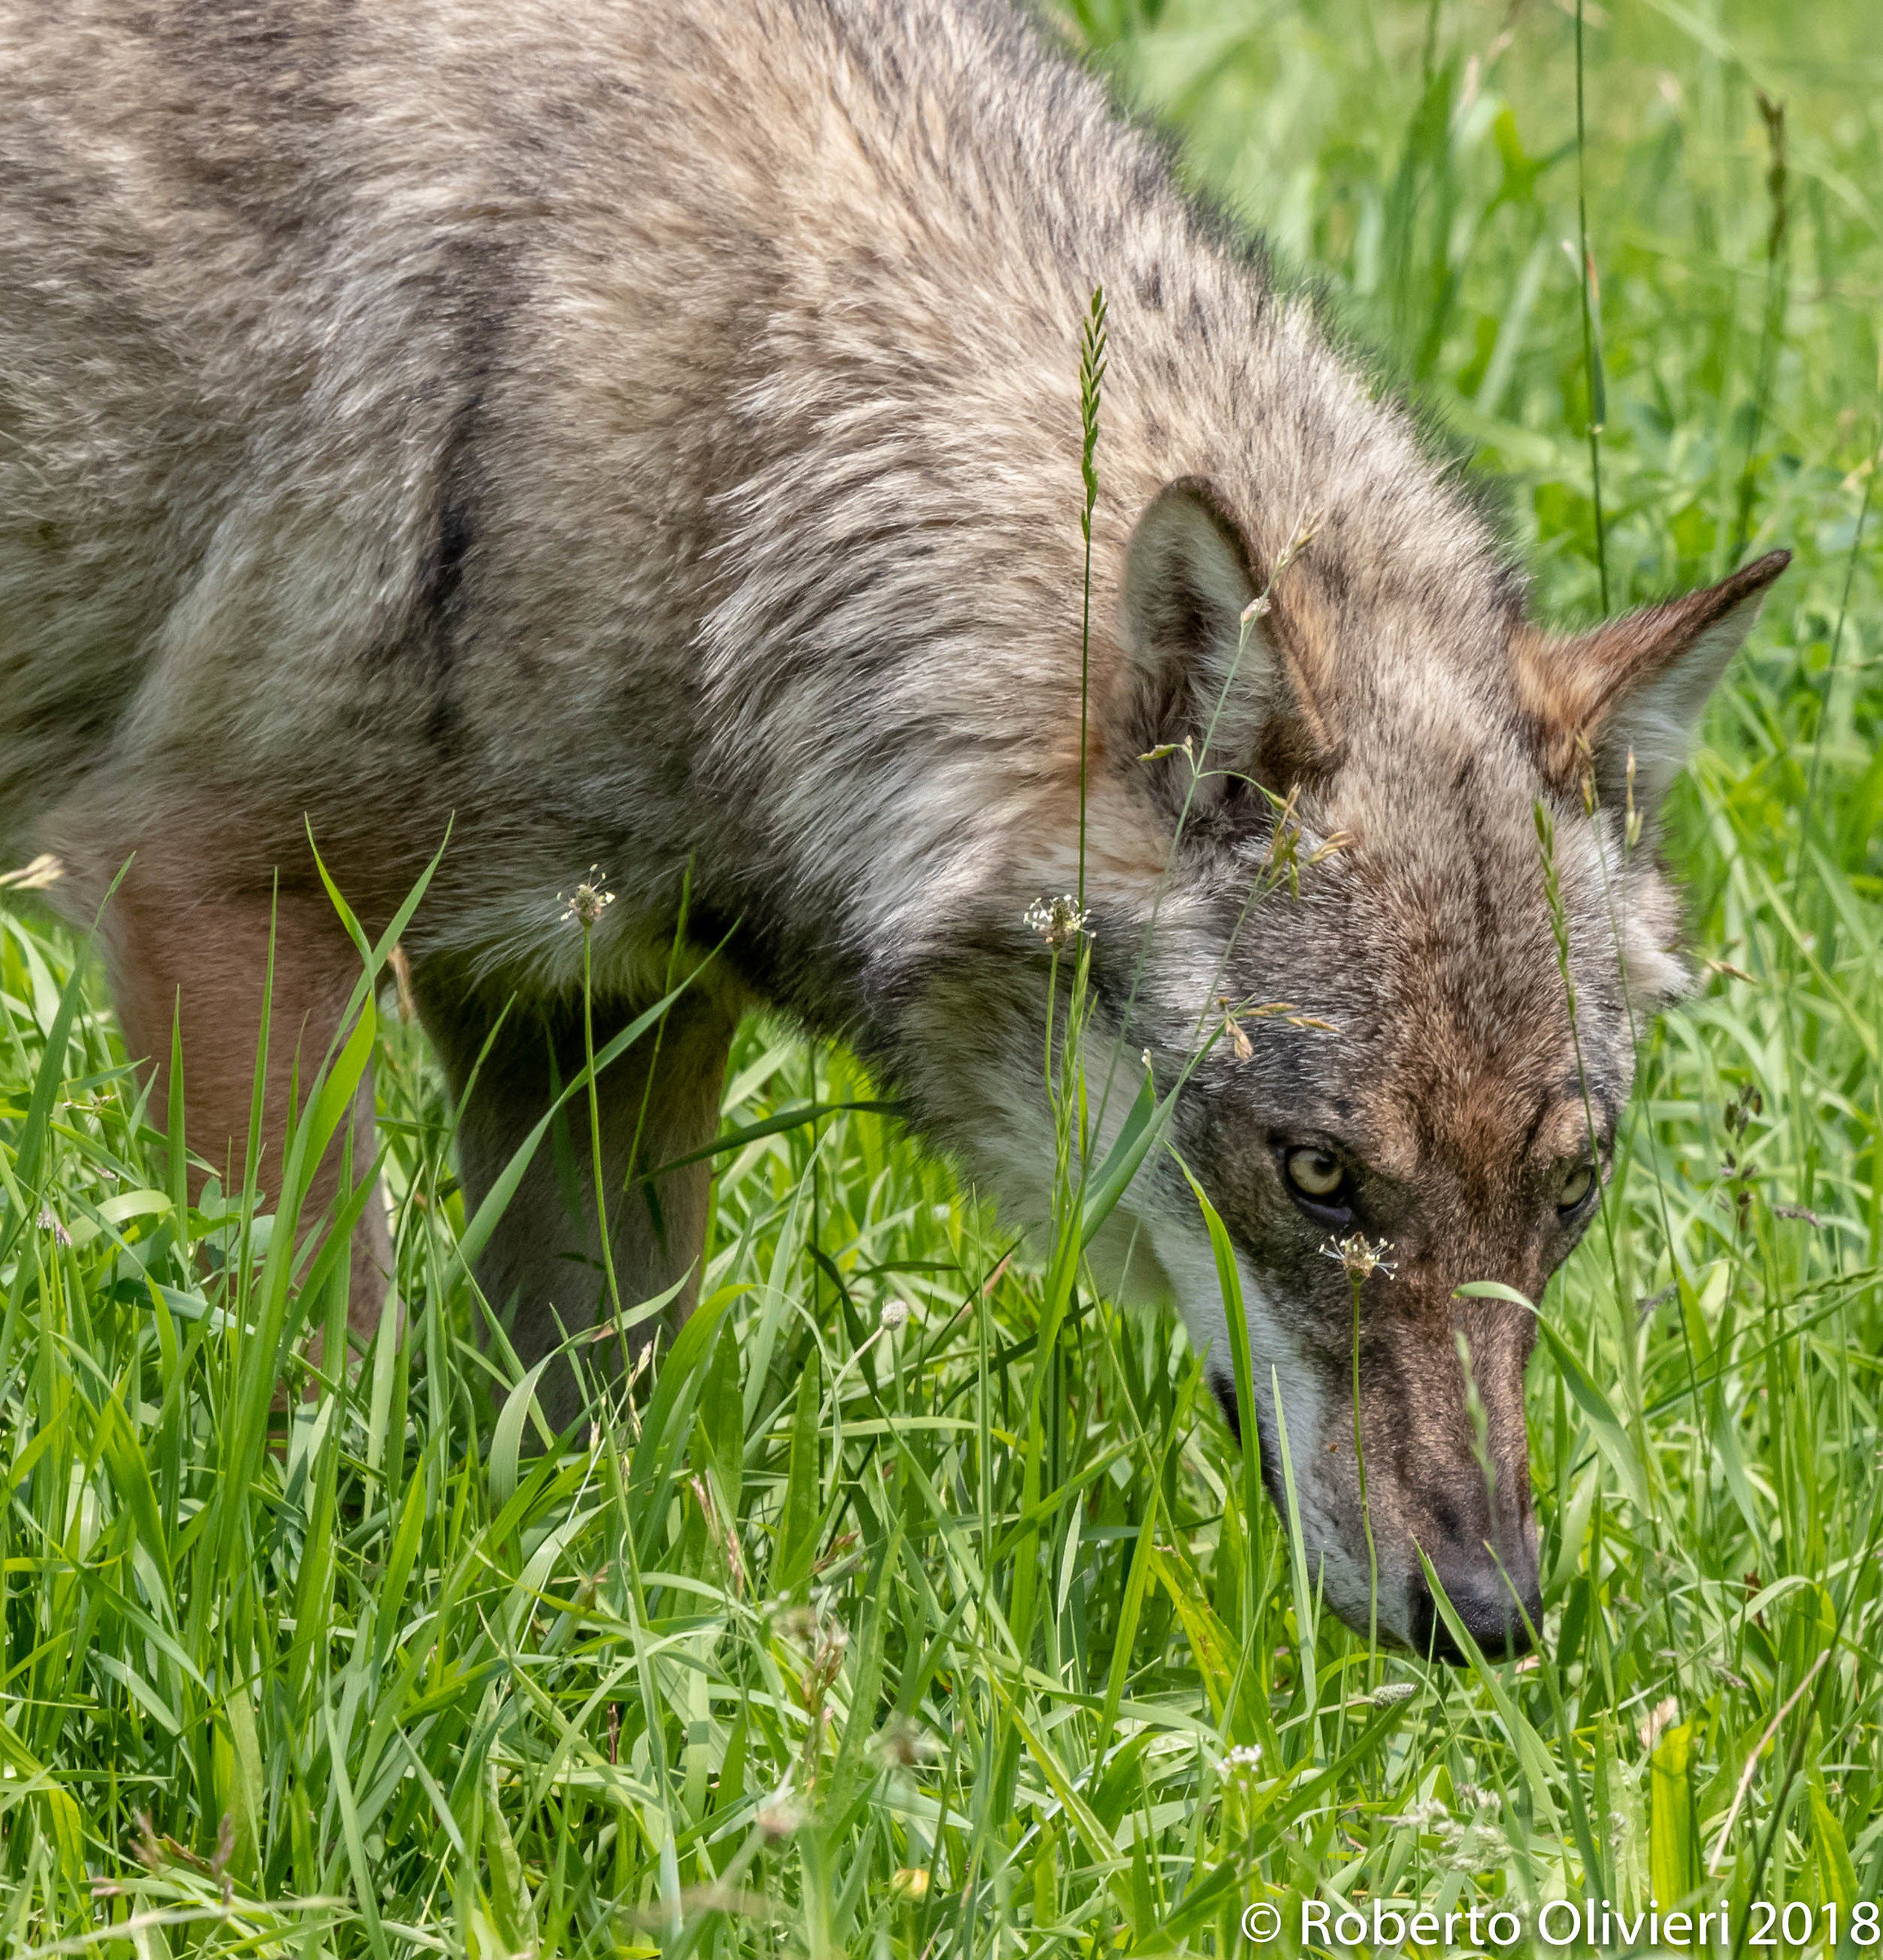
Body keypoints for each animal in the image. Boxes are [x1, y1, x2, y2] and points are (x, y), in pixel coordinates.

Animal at [0, 0, 1786, 1658]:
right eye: (1321, 1175)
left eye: (1571, 1187)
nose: (1486, 1616)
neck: (730, 453)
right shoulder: (212, 899)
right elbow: (324, 1396)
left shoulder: (598, 1012)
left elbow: (596, 1433)